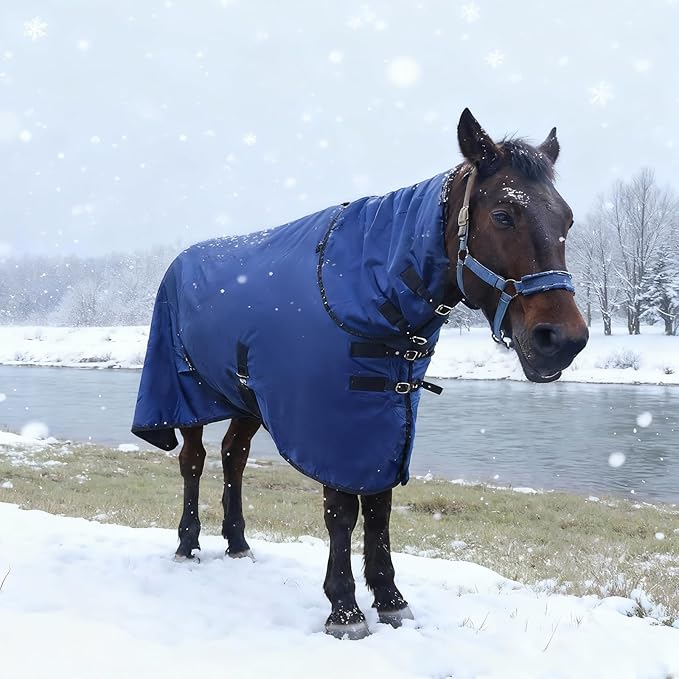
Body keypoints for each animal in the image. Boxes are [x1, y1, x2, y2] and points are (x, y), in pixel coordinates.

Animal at [132, 108, 588, 640]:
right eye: (502, 215)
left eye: (567, 219)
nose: (563, 340)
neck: (372, 290)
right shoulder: (334, 425)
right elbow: (343, 511)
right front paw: (345, 608)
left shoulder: (386, 420)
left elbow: (379, 507)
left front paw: (390, 599)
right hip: (184, 392)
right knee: (194, 460)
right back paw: (187, 545)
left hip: (248, 400)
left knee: (233, 457)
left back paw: (238, 543)